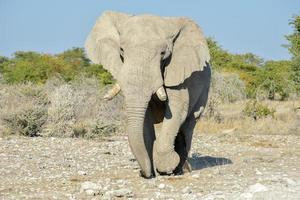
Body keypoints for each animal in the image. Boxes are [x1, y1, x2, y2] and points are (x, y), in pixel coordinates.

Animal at [84, 10, 211, 178]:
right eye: (122, 50)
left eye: (163, 53)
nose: (144, 173)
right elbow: (145, 124)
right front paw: (150, 172)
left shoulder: (178, 72)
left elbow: (178, 110)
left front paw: (165, 167)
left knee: (188, 125)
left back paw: (180, 170)